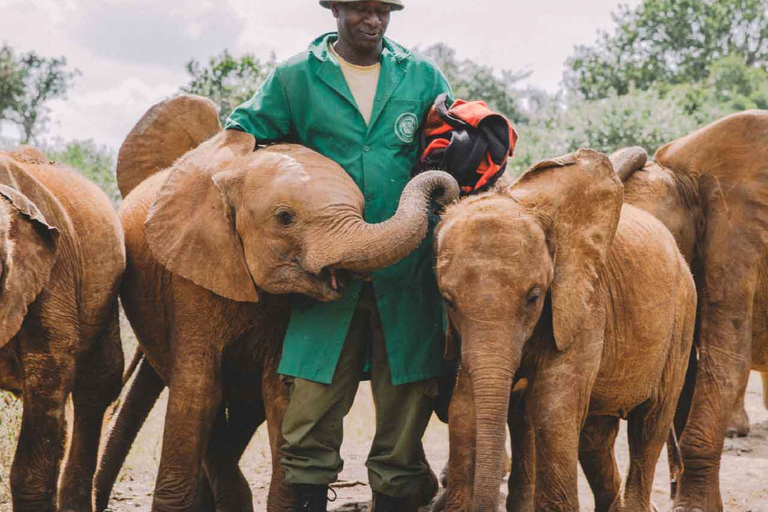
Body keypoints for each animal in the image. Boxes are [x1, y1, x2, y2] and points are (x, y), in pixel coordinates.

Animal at [436, 149, 700, 512]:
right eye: (448, 301)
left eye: (534, 296)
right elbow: (464, 408)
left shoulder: (582, 305)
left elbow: (552, 409)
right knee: (594, 438)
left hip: (682, 317)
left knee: (650, 424)